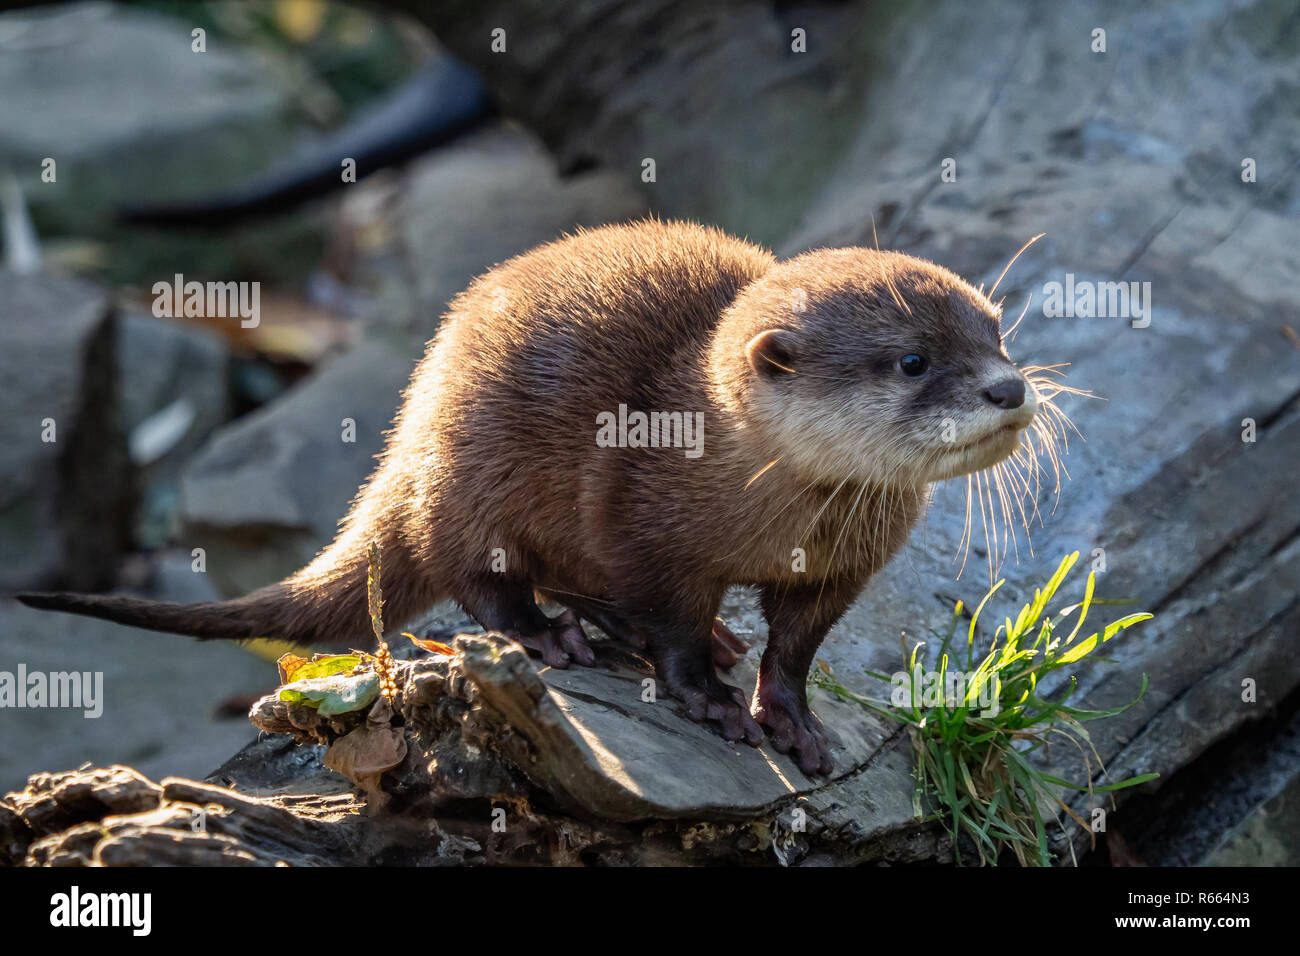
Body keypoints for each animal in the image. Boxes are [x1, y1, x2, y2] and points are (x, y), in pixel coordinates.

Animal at [18, 219, 1041, 775]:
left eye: (996, 331)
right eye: (913, 360)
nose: (1010, 388)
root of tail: (412, 428)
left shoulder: (840, 569)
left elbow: (796, 646)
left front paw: (788, 717)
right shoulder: (640, 520)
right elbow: (666, 617)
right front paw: (706, 698)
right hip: (470, 474)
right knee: (471, 573)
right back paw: (551, 636)